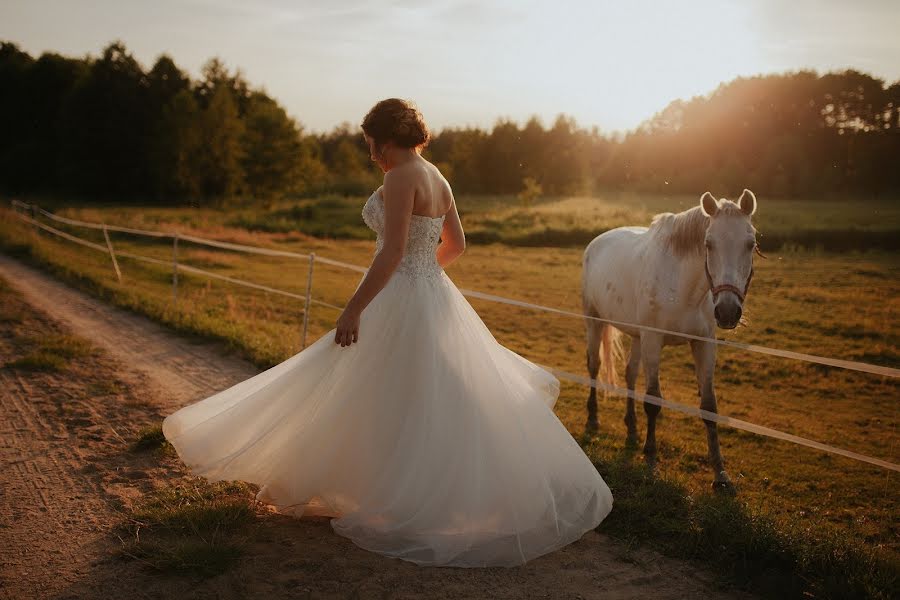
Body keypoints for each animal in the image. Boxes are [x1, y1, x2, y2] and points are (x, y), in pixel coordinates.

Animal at [580, 189, 764, 492]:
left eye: (750, 244)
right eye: (708, 244)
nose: (727, 311)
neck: (683, 288)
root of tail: (596, 242)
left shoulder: (704, 343)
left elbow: (709, 406)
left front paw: (720, 473)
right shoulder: (654, 340)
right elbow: (653, 400)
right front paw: (651, 458)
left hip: (637, 336)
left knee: (630, 374)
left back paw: (631, 428)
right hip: (595, 321)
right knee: (594, 366)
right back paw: (593, 419)